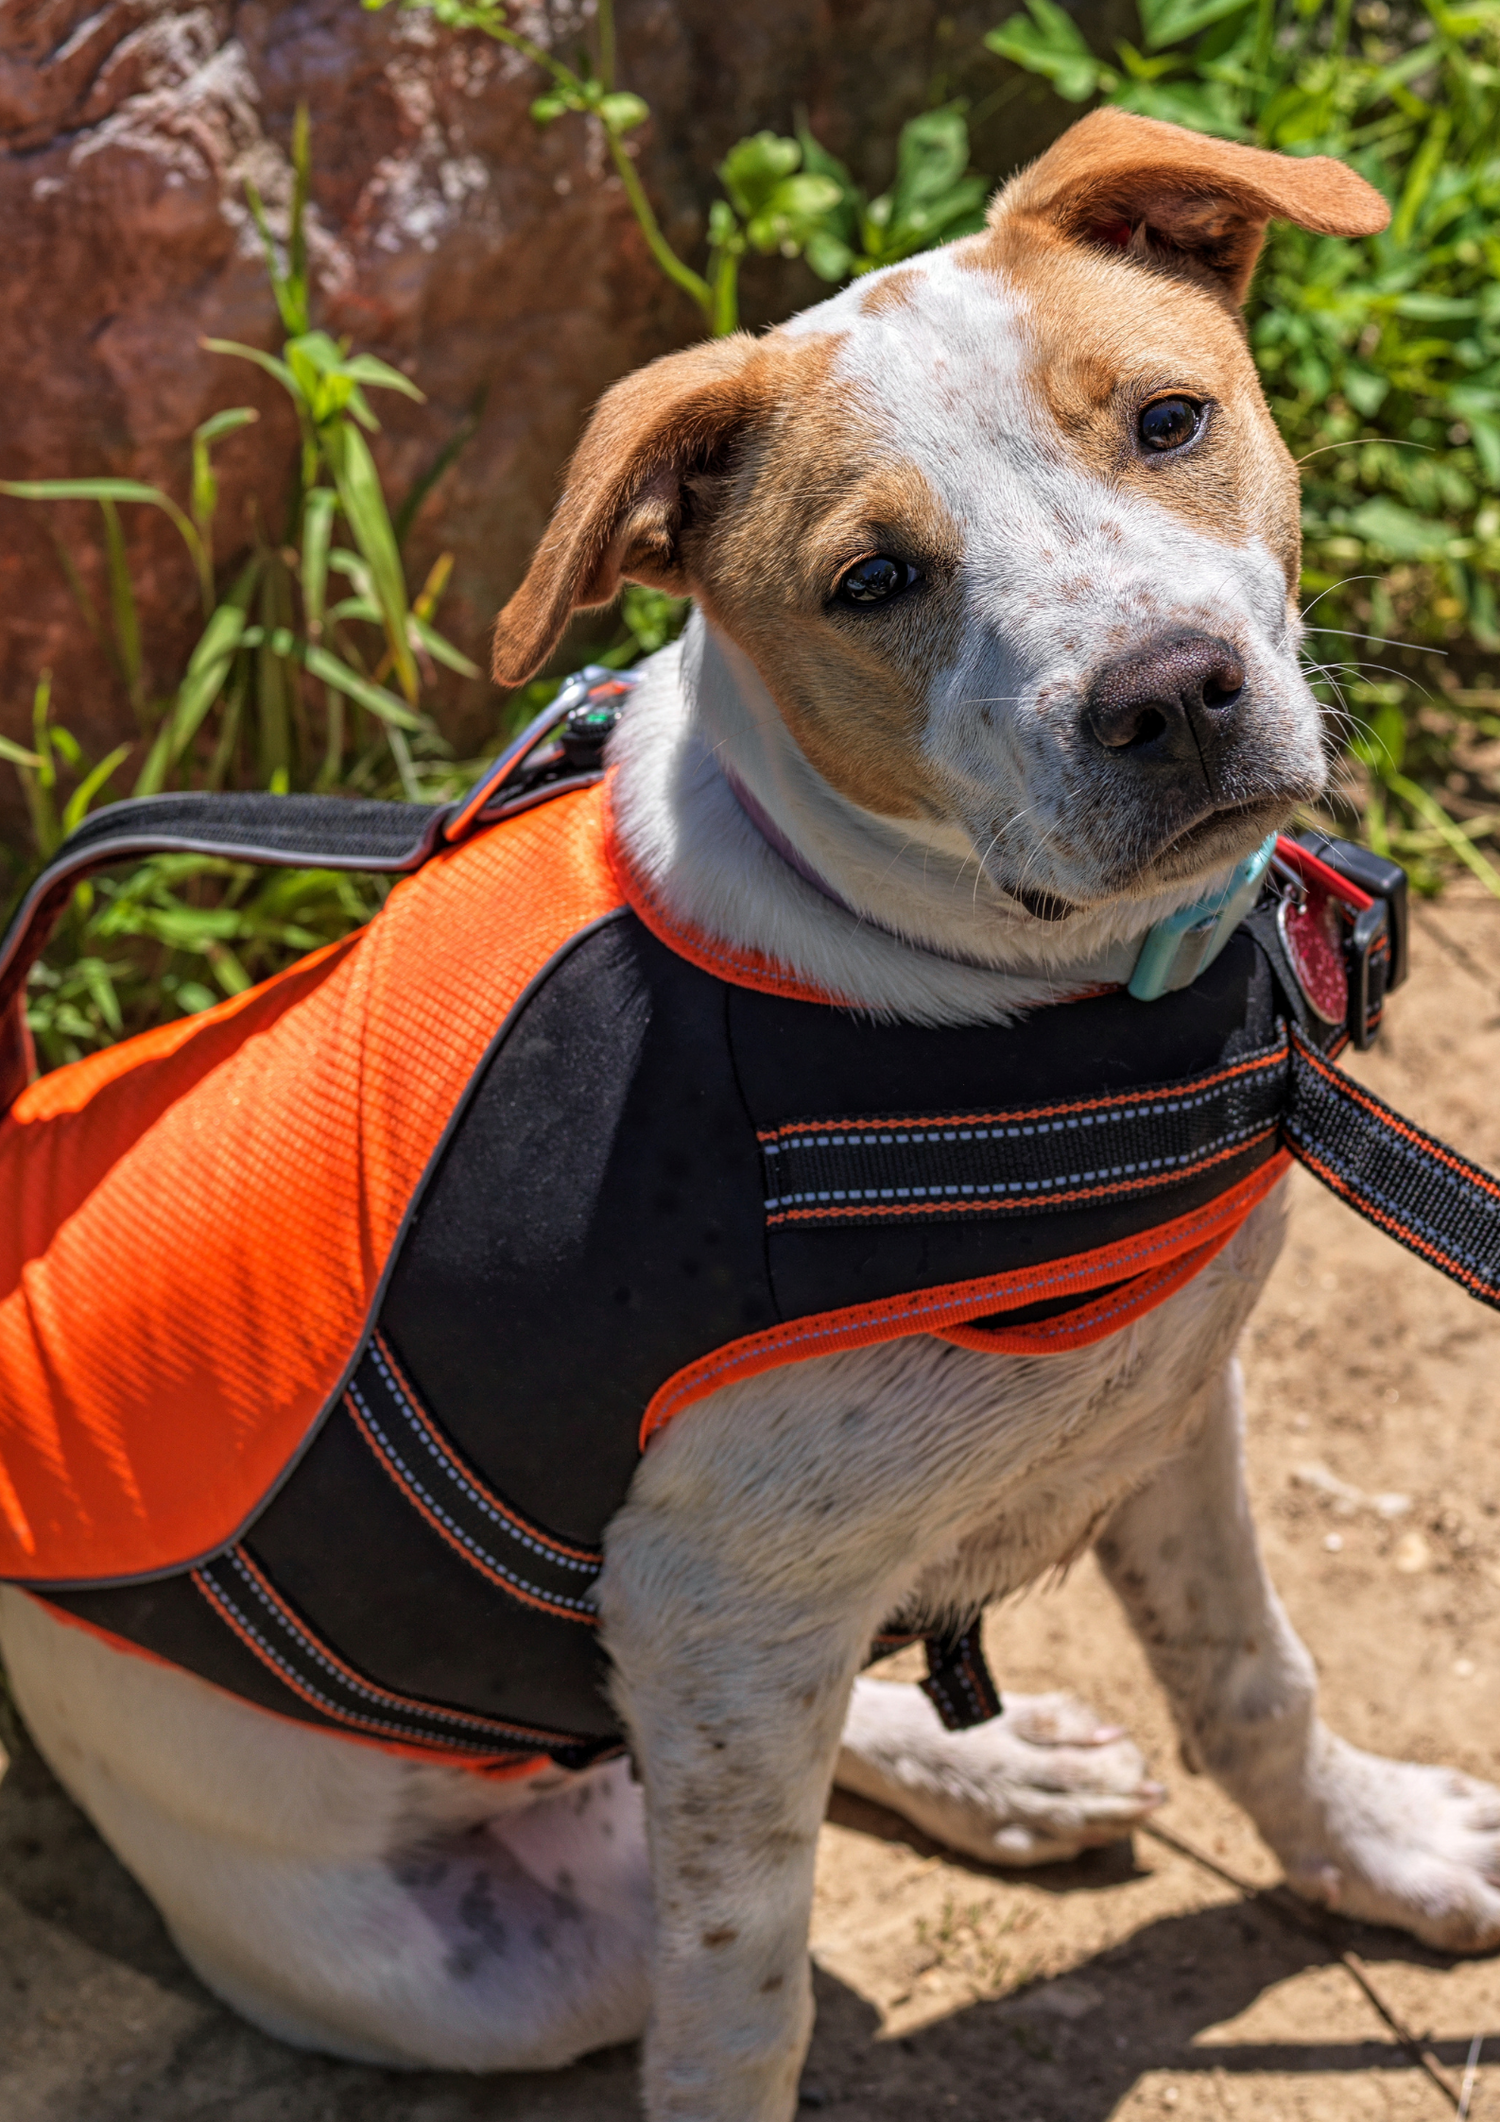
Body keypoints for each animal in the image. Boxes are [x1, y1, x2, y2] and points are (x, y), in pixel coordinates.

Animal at [2, 103, 1500, 2122]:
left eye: (1169, 419)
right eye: (872, 582)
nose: (1170, 697)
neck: (985, 991)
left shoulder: (1171, 1397)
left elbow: (1252, 1675)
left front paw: (1381, 1852)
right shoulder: (713, 1600)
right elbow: (744, 1997)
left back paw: (995, 1765)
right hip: (471, 1944)